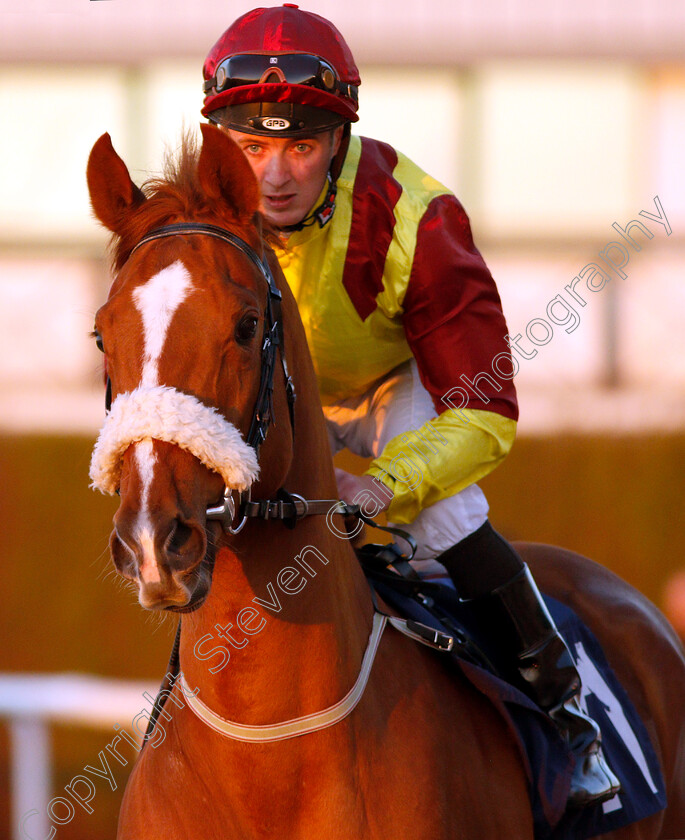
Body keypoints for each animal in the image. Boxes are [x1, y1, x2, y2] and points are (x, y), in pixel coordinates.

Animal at [85, 126, 684, 840]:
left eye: (246, 325)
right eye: (102, 335)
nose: (152, 539)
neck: (268, 751)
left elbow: (484, 413)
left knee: (456, 518)